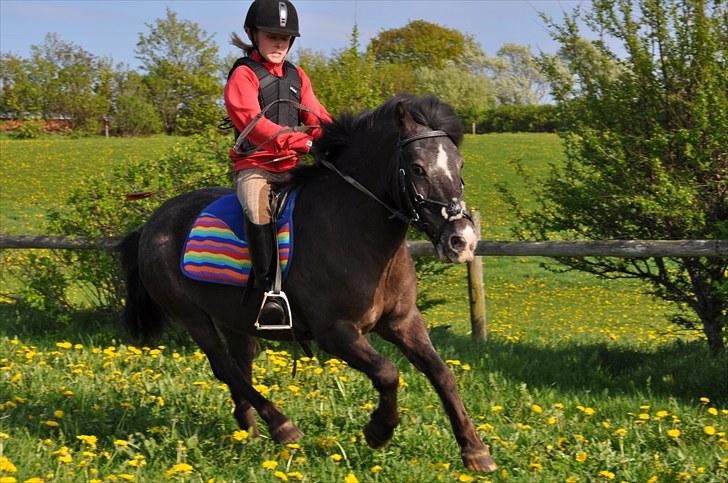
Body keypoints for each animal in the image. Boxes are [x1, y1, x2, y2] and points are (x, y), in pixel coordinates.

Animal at [119, 93, 497, 472]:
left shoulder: (403, 321)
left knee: (240, 366)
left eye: (460, 165)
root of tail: (152, 223)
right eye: (418, 168)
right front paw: (378, 431)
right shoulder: (336, 332)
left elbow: (442, 373)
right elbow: (387, 372)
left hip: (235, 320)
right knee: (224, 366)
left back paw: (249, 429)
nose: (461, 240)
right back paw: (281, 425)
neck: (356, 233)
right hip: (193, 317)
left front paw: (475, 451)